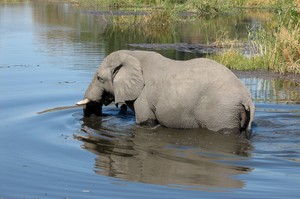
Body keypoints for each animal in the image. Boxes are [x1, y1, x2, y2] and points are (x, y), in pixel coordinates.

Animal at [77, 49, 255, 134]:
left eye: (99, 78)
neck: (132, 55)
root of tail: (247, 98)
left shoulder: (144, 96)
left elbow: (146, 122)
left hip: (221, 113)